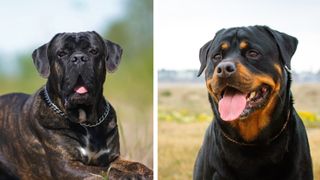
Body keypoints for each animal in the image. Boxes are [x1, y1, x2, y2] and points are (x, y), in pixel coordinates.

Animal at [0, 31, 152, 179]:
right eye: (61, 53)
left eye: (93, 51)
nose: (79, 58)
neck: (86, 122)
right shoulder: (67, 165)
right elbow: (104, 171)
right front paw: (129, 176)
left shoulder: (113, 157)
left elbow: (135, 164)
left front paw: (146, 172)